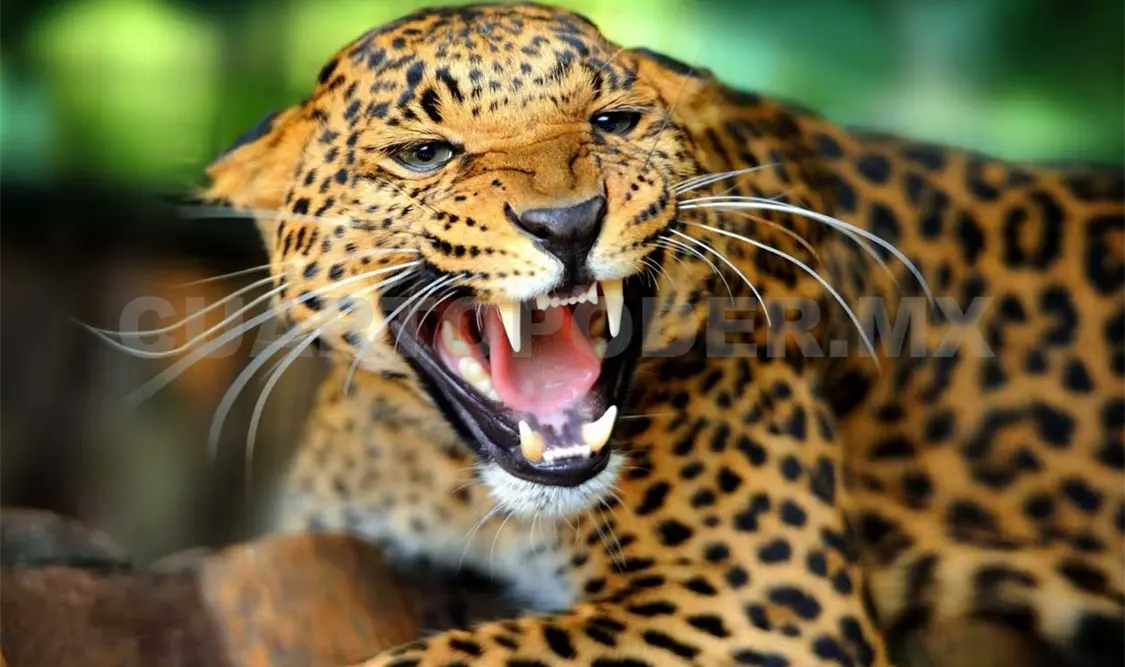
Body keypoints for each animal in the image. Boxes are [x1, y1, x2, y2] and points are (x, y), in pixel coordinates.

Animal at [202, 3, 1125, 666]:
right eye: (425, 152)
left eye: (612, 122)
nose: (567, 222)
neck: (443, 476)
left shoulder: (758, 600)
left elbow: (461, 655)